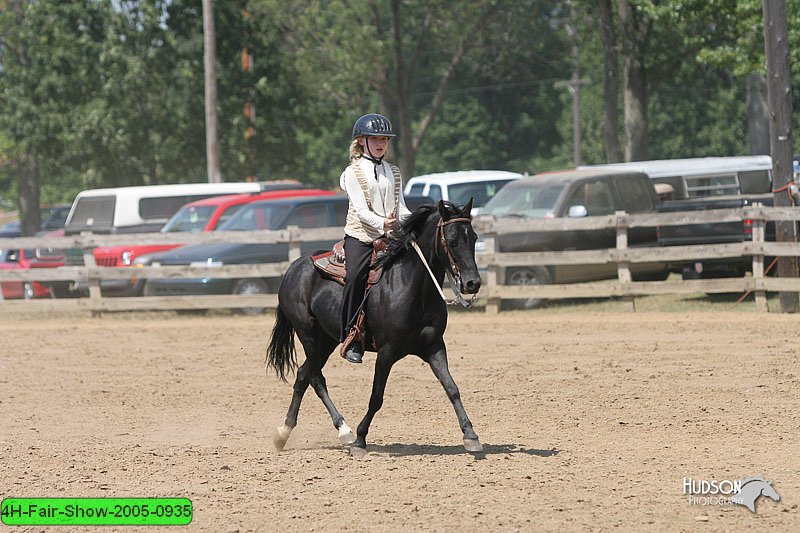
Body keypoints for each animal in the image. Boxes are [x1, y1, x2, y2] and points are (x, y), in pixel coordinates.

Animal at [268, 198, 482, 454]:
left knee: (303, 375)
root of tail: (294, 268)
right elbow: (376, 397)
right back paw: (345, 430)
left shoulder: (434, 346)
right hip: (307, 333)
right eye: (452, 240)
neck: (412, 286)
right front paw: (360, 439)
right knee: (316, 378)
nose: (473, 283)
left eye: (474, 238)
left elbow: (452, 388)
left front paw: (470, 435)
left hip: (327, 339)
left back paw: (283, 432)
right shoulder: (386, 351)